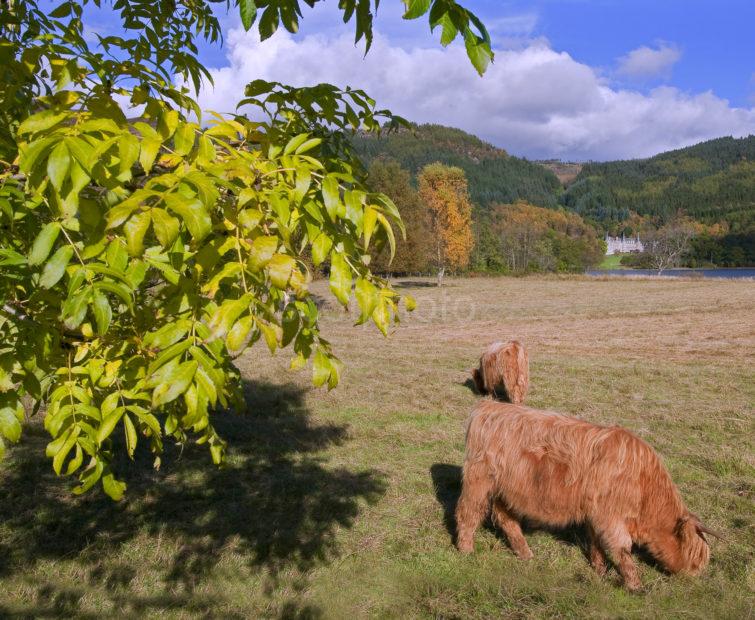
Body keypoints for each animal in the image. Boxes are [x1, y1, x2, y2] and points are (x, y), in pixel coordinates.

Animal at [454, 400, 720, 592]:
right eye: (695, 559)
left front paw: (600, 571)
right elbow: (621, 550)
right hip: (480, 480)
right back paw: (466, 550)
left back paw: (526, 554)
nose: (694, 580)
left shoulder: (596, 513)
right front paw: (635, 586)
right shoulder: (611, 518)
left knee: (505, 519)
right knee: (468, 512)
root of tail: (488, 407)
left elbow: (596, 543)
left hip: (505, 490)